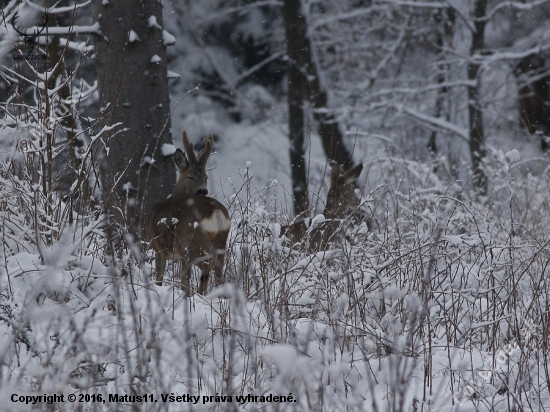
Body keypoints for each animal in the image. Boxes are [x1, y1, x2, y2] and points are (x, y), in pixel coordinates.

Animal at [146, 130, 232, 294]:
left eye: (205, 177)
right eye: (191, 176)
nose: (203, 190)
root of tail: (215, 213)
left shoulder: (159, 247)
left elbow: (159, 278)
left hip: (189, 243)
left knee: (204, 269)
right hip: (220, 241)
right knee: (218, 273)